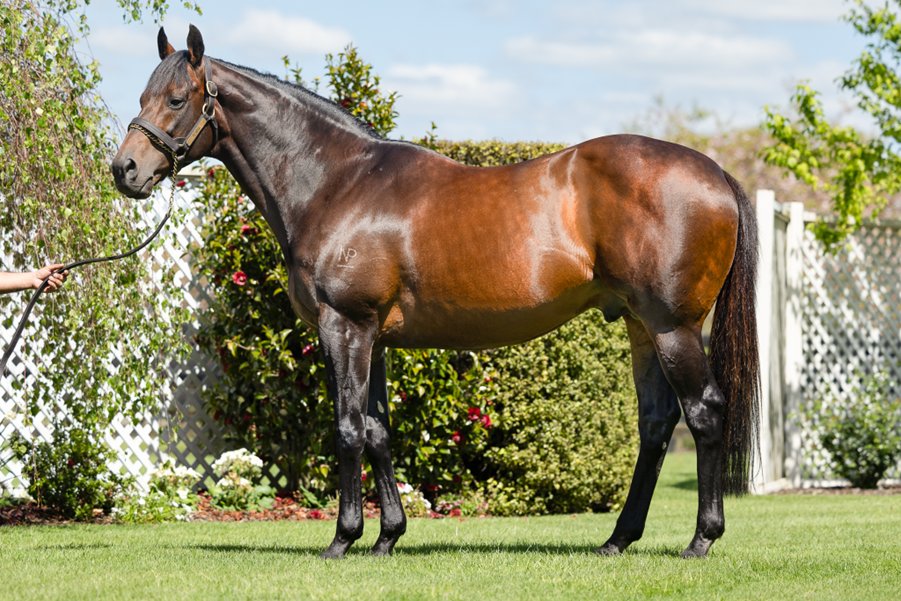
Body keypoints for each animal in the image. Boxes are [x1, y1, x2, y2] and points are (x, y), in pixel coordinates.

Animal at [112, 26, 759, 559]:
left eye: (176, 99)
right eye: (142, 96)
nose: (125, 170)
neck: (338, 183)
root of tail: (716, 173)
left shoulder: (344, 326)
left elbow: (347, 428)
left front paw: (342, 540)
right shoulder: (373, 337)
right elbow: (377, 430)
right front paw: (386, 538)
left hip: (673, 327)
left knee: (703, 413)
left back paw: (701, 539)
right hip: (639, 325)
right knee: (656, 425)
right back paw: (618, 540)